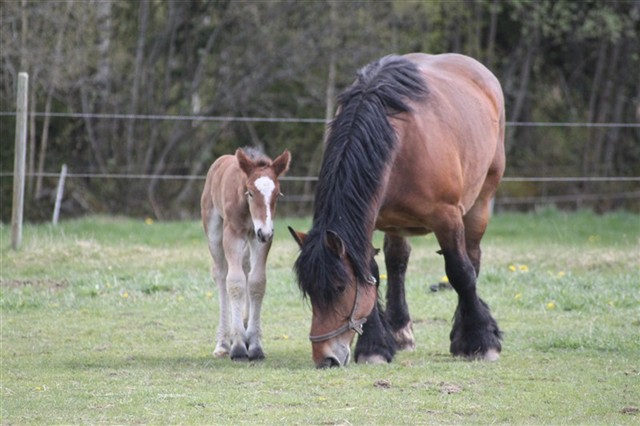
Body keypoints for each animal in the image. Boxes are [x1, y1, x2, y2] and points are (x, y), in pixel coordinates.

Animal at [201, 146, 292, 360]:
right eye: (250, 193)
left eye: (278, 194)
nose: (264, 232)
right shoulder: (232, 234)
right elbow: (234, 282)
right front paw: (238, 347)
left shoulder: (261, 239)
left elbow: (257, 282)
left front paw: (255, 344)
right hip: (214, 229)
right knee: (221, 274)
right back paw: (223, 343)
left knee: (246, 270)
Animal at [290, 53, 504, 368]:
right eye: (309, 292)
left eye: (339, 288)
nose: (325, 358)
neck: (399, 140)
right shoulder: (371, 222)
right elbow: (373, 274)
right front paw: (375, 346)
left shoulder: (448, 218)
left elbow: (460, 272)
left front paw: (481, 341)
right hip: (395, 224)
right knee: (398, 262)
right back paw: (400, 331)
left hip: (481, 202)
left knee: (472, 259)